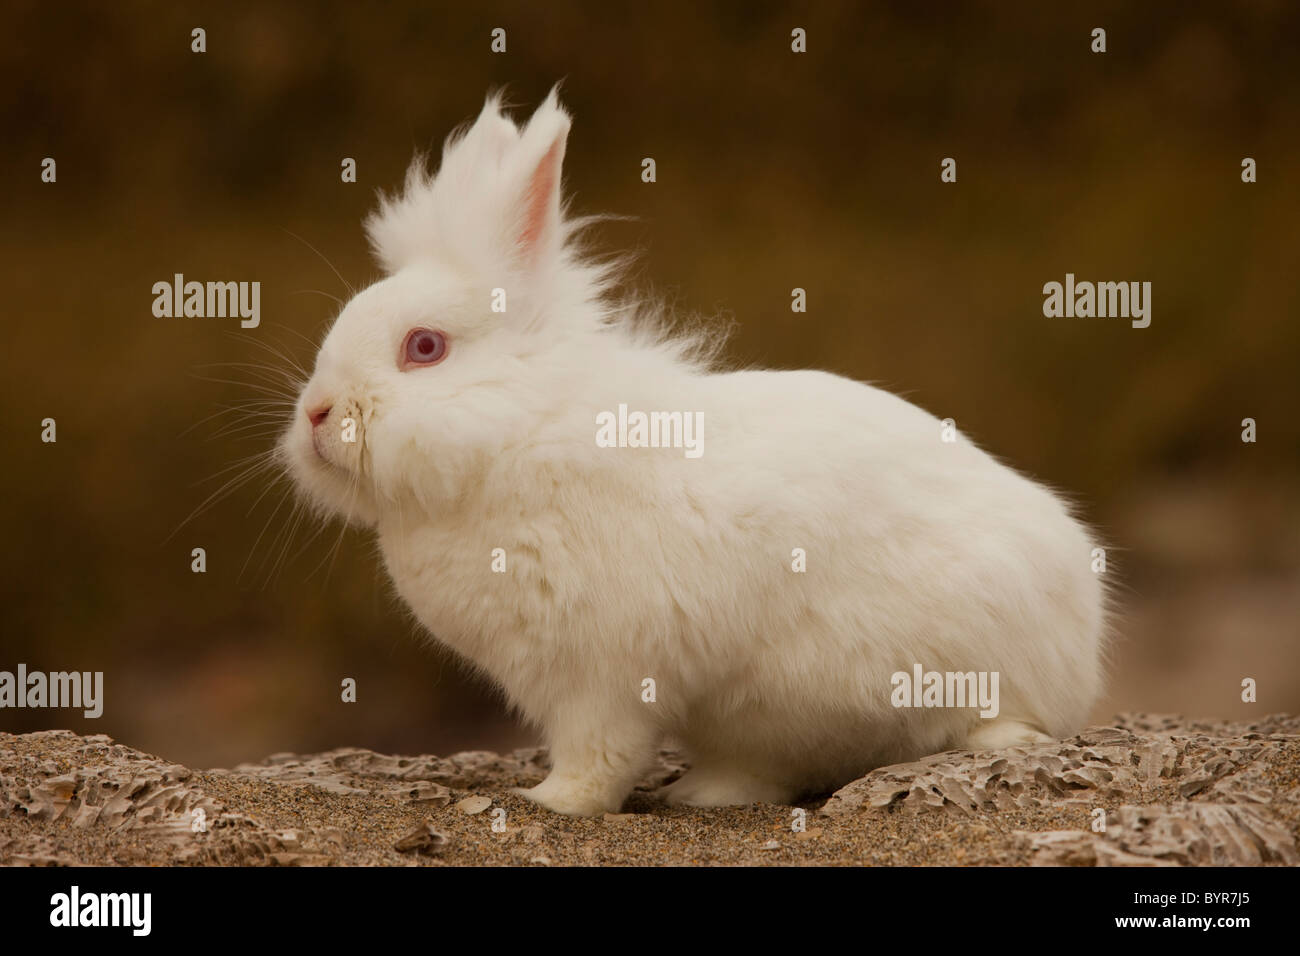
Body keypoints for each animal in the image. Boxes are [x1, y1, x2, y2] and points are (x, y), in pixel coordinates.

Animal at [284, 89, 1107, 816]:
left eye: (424, 348)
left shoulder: (599, 677)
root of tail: (1084, 636)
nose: (316, 415)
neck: (522, 429)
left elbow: (599, 755)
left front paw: (550, 801)